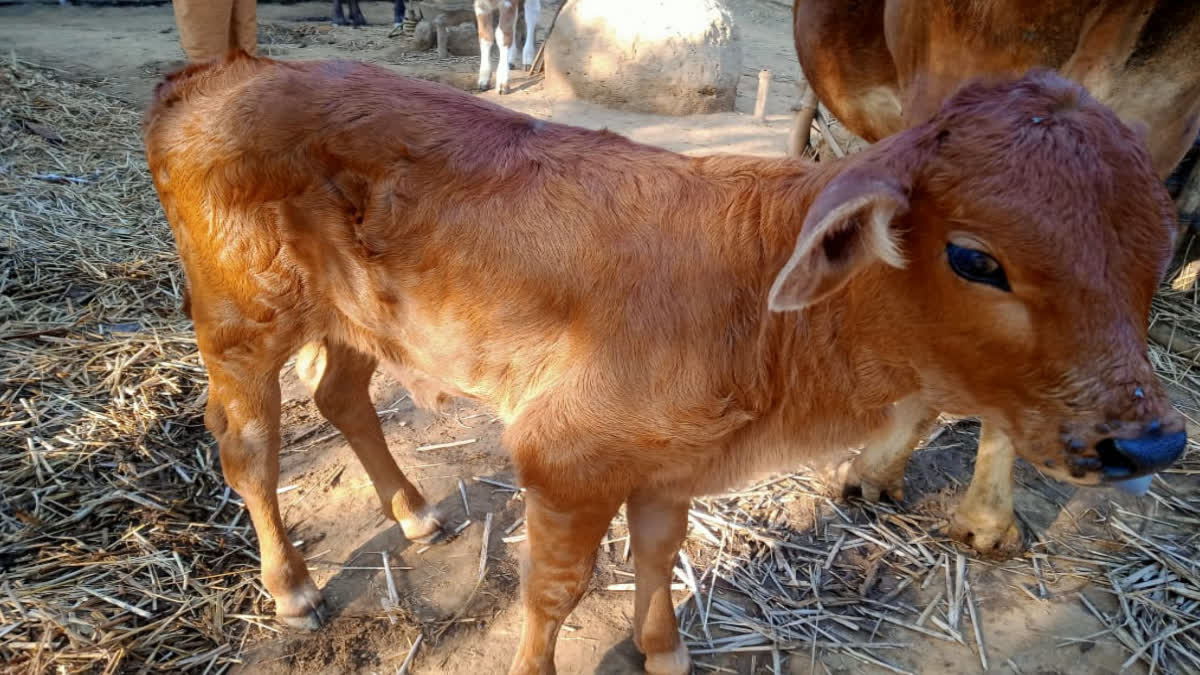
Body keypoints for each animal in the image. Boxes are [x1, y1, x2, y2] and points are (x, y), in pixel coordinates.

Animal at [145, 53, 1185, 672]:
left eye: (1159, 248)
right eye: (975, 258)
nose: (1150, 440)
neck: (753, 306)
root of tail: (218, 72)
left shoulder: (665, 466)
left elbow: (658, 552)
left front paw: (665, 650)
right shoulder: (563, 460)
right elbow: (555, 590)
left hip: (357, 321)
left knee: (342, 394)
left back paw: (417, 511)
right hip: (241, 322)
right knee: (248, 446)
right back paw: (293, 588)